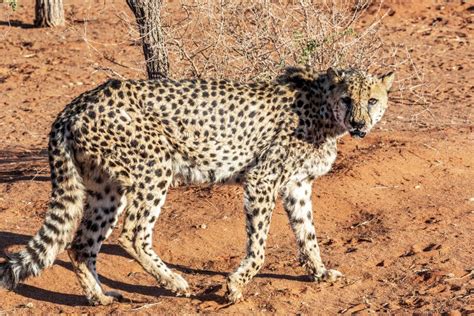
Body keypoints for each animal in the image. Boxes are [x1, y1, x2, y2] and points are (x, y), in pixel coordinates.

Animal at [0, 66, 392, 304]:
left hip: (106, 187)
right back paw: (174, 283)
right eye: (348, 99)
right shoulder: (261, 180)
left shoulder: (297, 185)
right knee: (132, 234)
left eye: (372, 100)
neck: (325, 111)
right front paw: (235, 286)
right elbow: (259, 248)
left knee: (81, 244)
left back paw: (99, 297)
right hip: (154, 168)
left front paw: (321, 272)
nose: (359, 123)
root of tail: (76, 103)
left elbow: (308, 234)